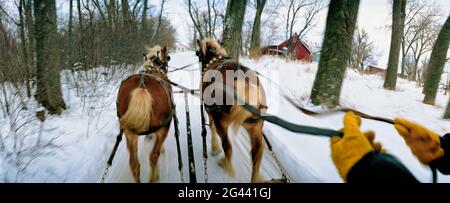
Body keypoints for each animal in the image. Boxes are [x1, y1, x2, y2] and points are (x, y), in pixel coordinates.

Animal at [115, 45, 173, 182]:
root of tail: (141, 87)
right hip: (164, 127)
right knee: (153, 156)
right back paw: (154, 177)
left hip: (129, 133)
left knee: (134, 164)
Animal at [196, 38, 268, 182]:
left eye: (198, 53)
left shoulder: (210, 112)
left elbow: (211, 127)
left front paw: (214, 148)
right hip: (255, 126)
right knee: (257, 151)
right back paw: (255, 178)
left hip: (221, 122)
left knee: (228, 146)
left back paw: (225, 163)